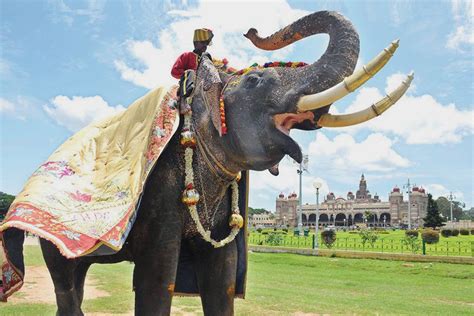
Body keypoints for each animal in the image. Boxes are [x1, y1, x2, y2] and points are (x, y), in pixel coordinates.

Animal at [2, 9, 412, 316]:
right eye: (255, 81)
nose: (251, 29)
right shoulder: (159, 191)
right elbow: (158, 278)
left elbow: (222, 278)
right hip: (53, 237)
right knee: (66, 285)